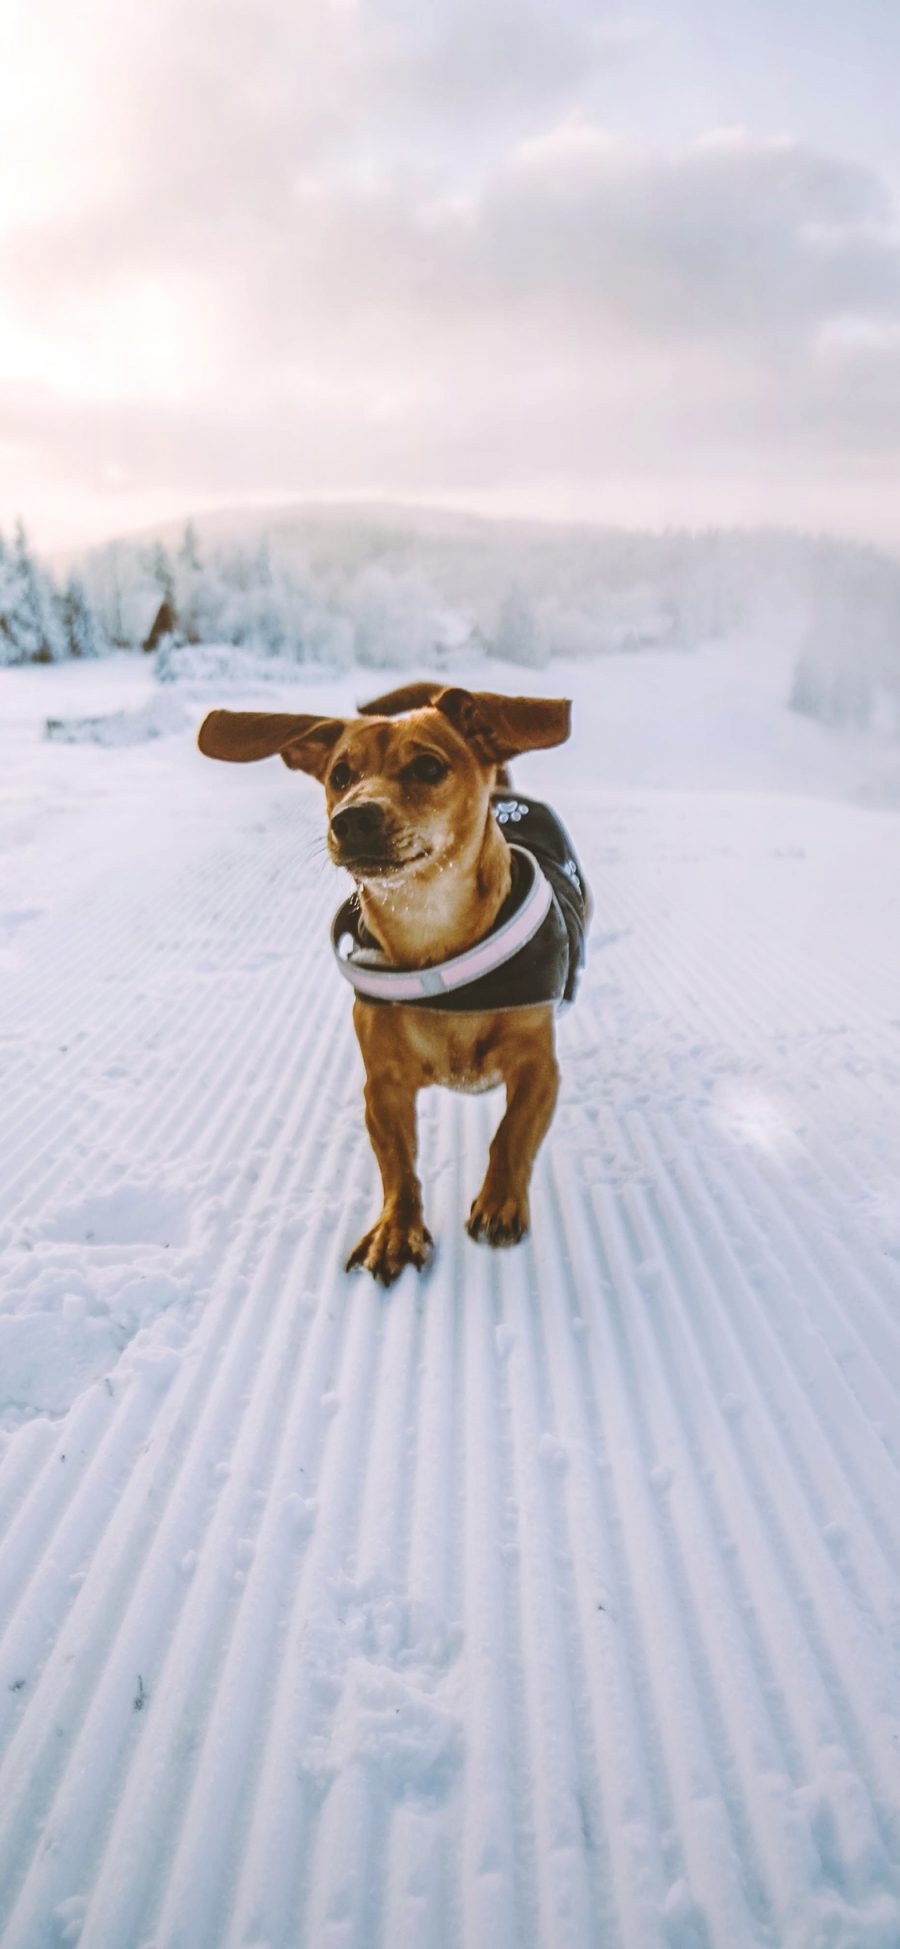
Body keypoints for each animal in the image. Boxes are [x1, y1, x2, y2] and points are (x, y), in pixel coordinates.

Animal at [196, 678, 576, 1286]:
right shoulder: (383, 1086)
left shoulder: (539, 1069)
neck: (430, 935)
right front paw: (398, 1229)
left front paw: (499, 1200)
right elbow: (398, 1163)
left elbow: (511, 1132)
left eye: (427, 766)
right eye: (339, 774)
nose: (352, 819)